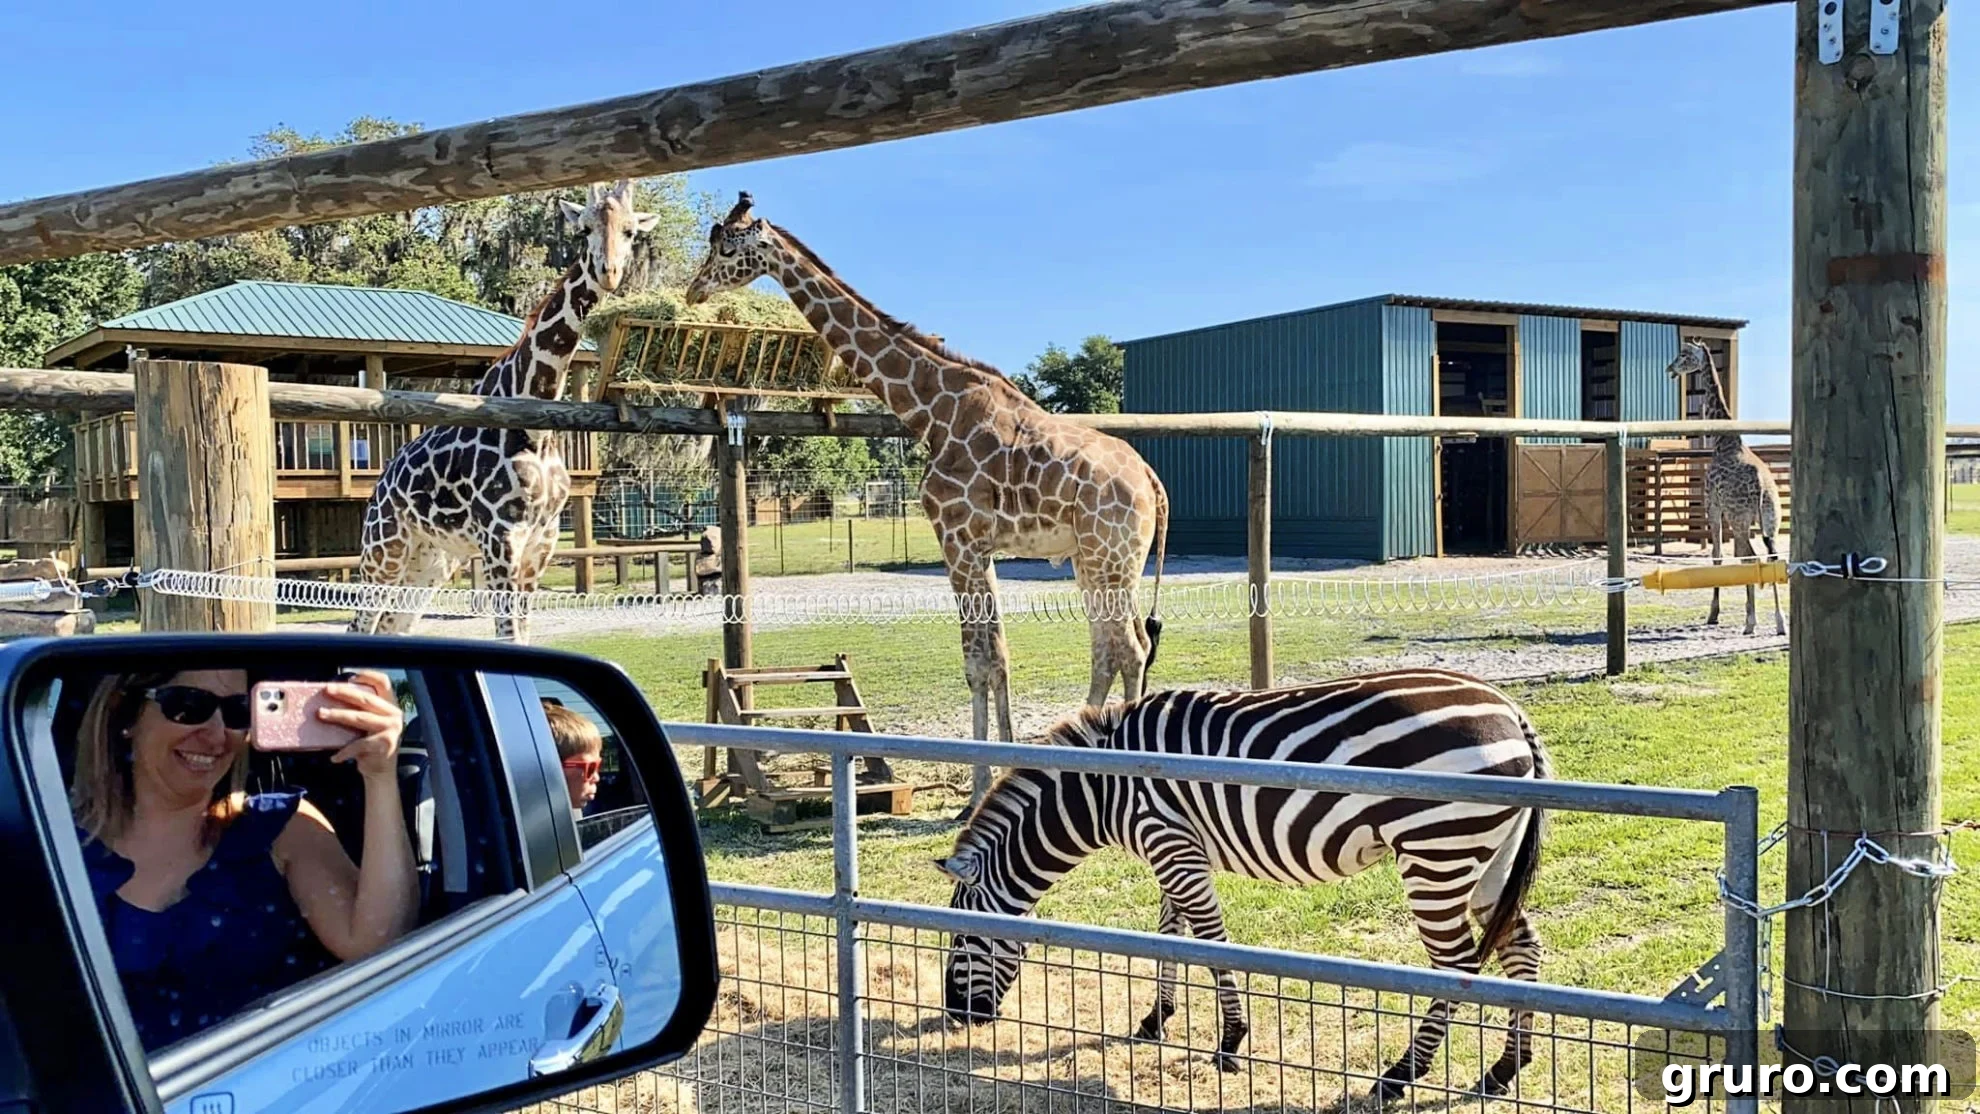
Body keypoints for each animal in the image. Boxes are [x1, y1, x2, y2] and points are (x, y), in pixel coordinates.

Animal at [350, 179, 659, 643]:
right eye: (584, 228)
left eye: (630, 231)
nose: (609, 272)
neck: (537, 429)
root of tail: (380, 484)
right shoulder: (500, 537)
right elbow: (508, 633)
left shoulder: (541, 542)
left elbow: (524, 633)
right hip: (384, 548)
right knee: (360, 622)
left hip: (433, 558)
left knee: (392, 625)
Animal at [684, 193, 1170, 809]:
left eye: (726, 248)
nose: (693, 290)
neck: (931, 411)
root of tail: (1152, 481)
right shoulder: (980, 546)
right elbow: (999, 656)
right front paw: (996, 772)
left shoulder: (956, 538)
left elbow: (978, 662)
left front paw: (979, 786)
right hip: (1095, 559)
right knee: (1117, 647)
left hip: (1110, 557)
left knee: (1126, 647)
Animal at [933, 667, 1549, 1103]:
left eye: (961, 939)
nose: (958, 1019)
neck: (1105, 788)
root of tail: (1512, 710)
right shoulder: (1175, 845)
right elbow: (1169, 933)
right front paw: (1156, 1021)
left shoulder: (1169, 841)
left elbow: (1208, 942)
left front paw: (1230, 1043)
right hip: (1485, 858)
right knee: (1522, 947)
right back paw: (1503, 1071)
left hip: (1437, 850)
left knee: (1456, 966)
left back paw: (1399, 1077)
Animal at [1666, 339, 1785, 636]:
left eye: (1684, 354)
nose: (1670, 368)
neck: (1723, 441)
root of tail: (1763, 488)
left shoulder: (1713, 505)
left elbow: (1717, 556)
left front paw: (1714, 613)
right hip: (1771, 520)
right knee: (1773, 558)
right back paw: (1780, 622)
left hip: (1739, 518)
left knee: (1751, 559)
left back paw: (1751, 622)